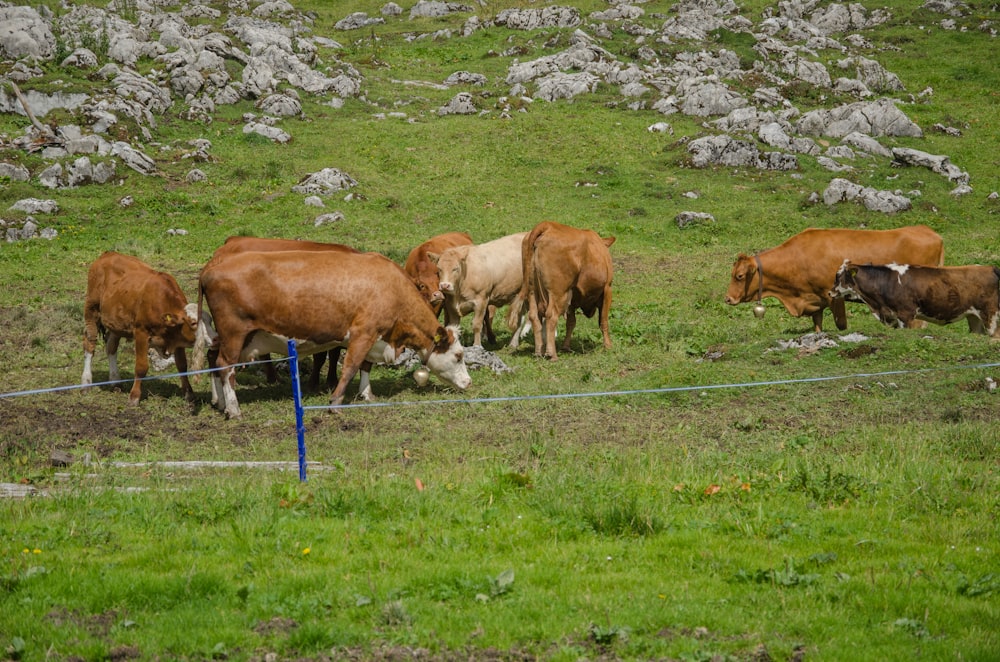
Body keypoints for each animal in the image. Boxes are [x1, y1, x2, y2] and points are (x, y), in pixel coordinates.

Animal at [82, 250, 215, 402]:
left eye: (210, 321)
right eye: (193, 323)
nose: (216, 338)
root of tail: (107, 254)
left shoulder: (177, 337)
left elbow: (182, 365)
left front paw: (189, 393)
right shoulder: (141, 333)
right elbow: (141, 367)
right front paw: (134, 396)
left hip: (116, 324)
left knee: (111, 347)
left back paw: (115, 381)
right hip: (91, 310)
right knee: (90, 344)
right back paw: (86, 383)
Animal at [201, 252, 474, 418]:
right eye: (459, 355)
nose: (469, 383)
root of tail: (212, 267)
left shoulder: (375, 336)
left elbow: (365, 366)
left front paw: (367, 394)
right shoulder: (364, 332)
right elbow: (351, 366)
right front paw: (335, 403)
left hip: (234, 337)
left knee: (213, 358)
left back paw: (219, 402)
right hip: (234, 333)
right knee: (225, 366)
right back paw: (233, 408)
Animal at [512, 220, 612, 360]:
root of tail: (547, 225)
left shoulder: (572, 297)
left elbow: (571, 322)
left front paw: (566, 347)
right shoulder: (607, 288)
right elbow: (603, 320)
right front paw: (608, 345)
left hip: (532, 291)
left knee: (534, 316)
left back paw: (538, 352)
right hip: (558, 293)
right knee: (551, 316)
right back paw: (552, 354)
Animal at [724, 227, 940, 332]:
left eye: (739, 276)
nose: (727, 298)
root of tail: (929, 232)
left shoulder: (833, 296)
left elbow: (841, 325)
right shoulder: (815, 299)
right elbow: (817, 324)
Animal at [828, 262, 1000, 338]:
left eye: (839, 276)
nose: (830, 292)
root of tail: (990, 268)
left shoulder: (905, 314)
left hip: (990, 314)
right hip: (974, 317)